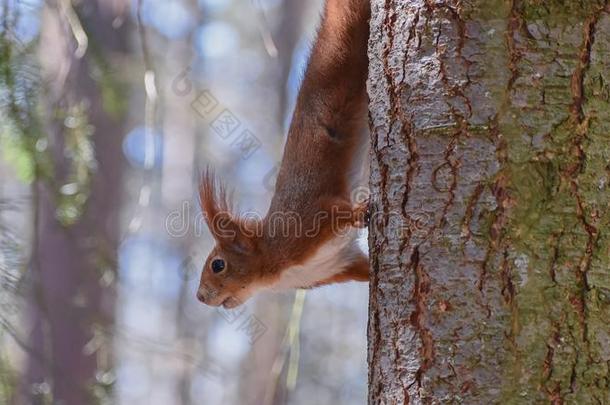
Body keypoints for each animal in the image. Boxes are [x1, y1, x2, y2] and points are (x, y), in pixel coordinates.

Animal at [197, 0, 370, 308]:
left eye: (218, 265)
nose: (200, 297)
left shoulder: (307, 220)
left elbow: (337, 210)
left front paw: (361, 212)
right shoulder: (339, 265)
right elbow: (366, 269)